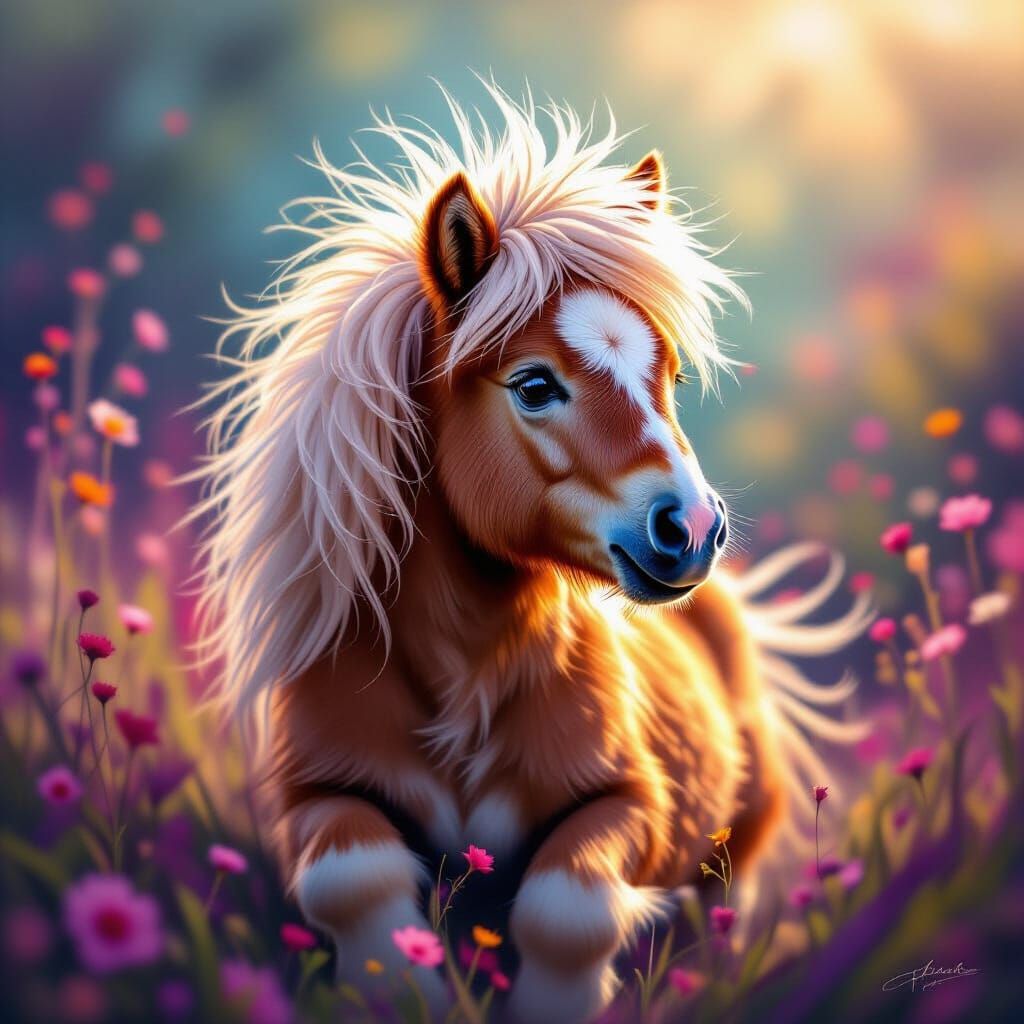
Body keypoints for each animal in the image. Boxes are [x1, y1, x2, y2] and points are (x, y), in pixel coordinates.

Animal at [193, 84, 870, 1023]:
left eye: (670, 379)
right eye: (535, 385)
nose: (694, 529)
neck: (462, 685)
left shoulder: (631, 801)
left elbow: (568, 907)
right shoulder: (316, 795)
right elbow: (350, 880)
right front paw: (407, 987)